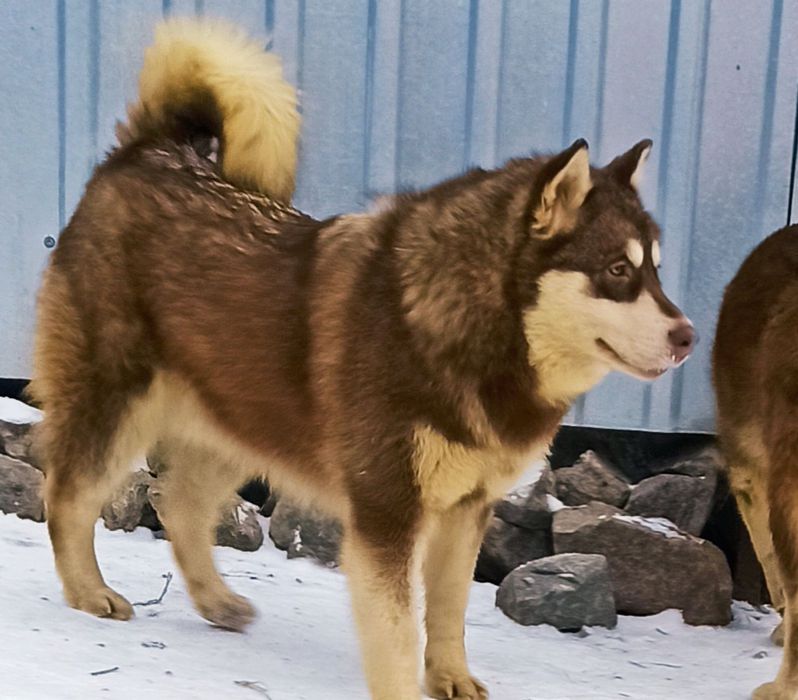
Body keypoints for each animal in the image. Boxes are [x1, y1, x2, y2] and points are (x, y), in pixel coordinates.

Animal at [31, 18, 695, 700]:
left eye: (656, 271)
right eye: (617, 271)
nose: (689, 336)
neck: (463, 326)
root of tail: (150, 151)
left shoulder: (465, 513)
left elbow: (449, 613)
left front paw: (450, 677)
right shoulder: (387, 514)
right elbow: (398, 634)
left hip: (246, 420)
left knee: (179, 502)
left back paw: (215, 601)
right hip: (119, 403)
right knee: (67, 494)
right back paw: (88, 592)